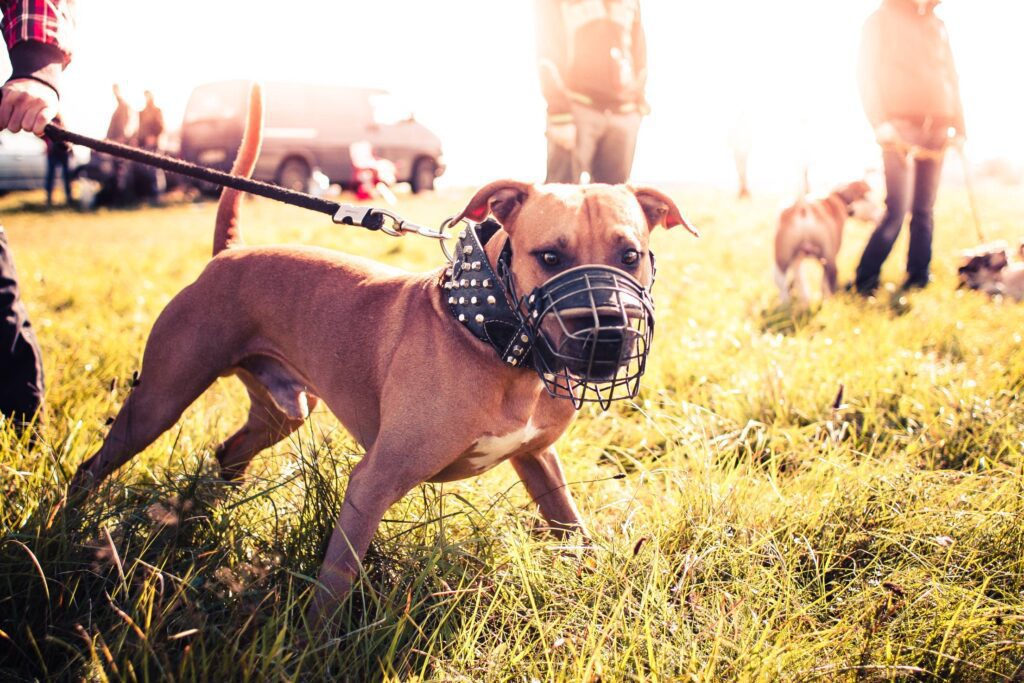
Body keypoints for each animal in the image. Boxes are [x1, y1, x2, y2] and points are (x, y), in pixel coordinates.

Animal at [70, 88, 696, 626]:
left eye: (631, 255)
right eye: (549, 256)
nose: (609, 332)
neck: (490, 333)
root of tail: (231, 253)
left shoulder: (538, 461)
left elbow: (570, 524)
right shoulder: (373, 479)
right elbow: (336, 580)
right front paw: (312, 646)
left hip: (280, 410)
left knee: (228, 453)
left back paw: (210, 514)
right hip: (159, 400)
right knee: (91, 468)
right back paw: (67, 530)